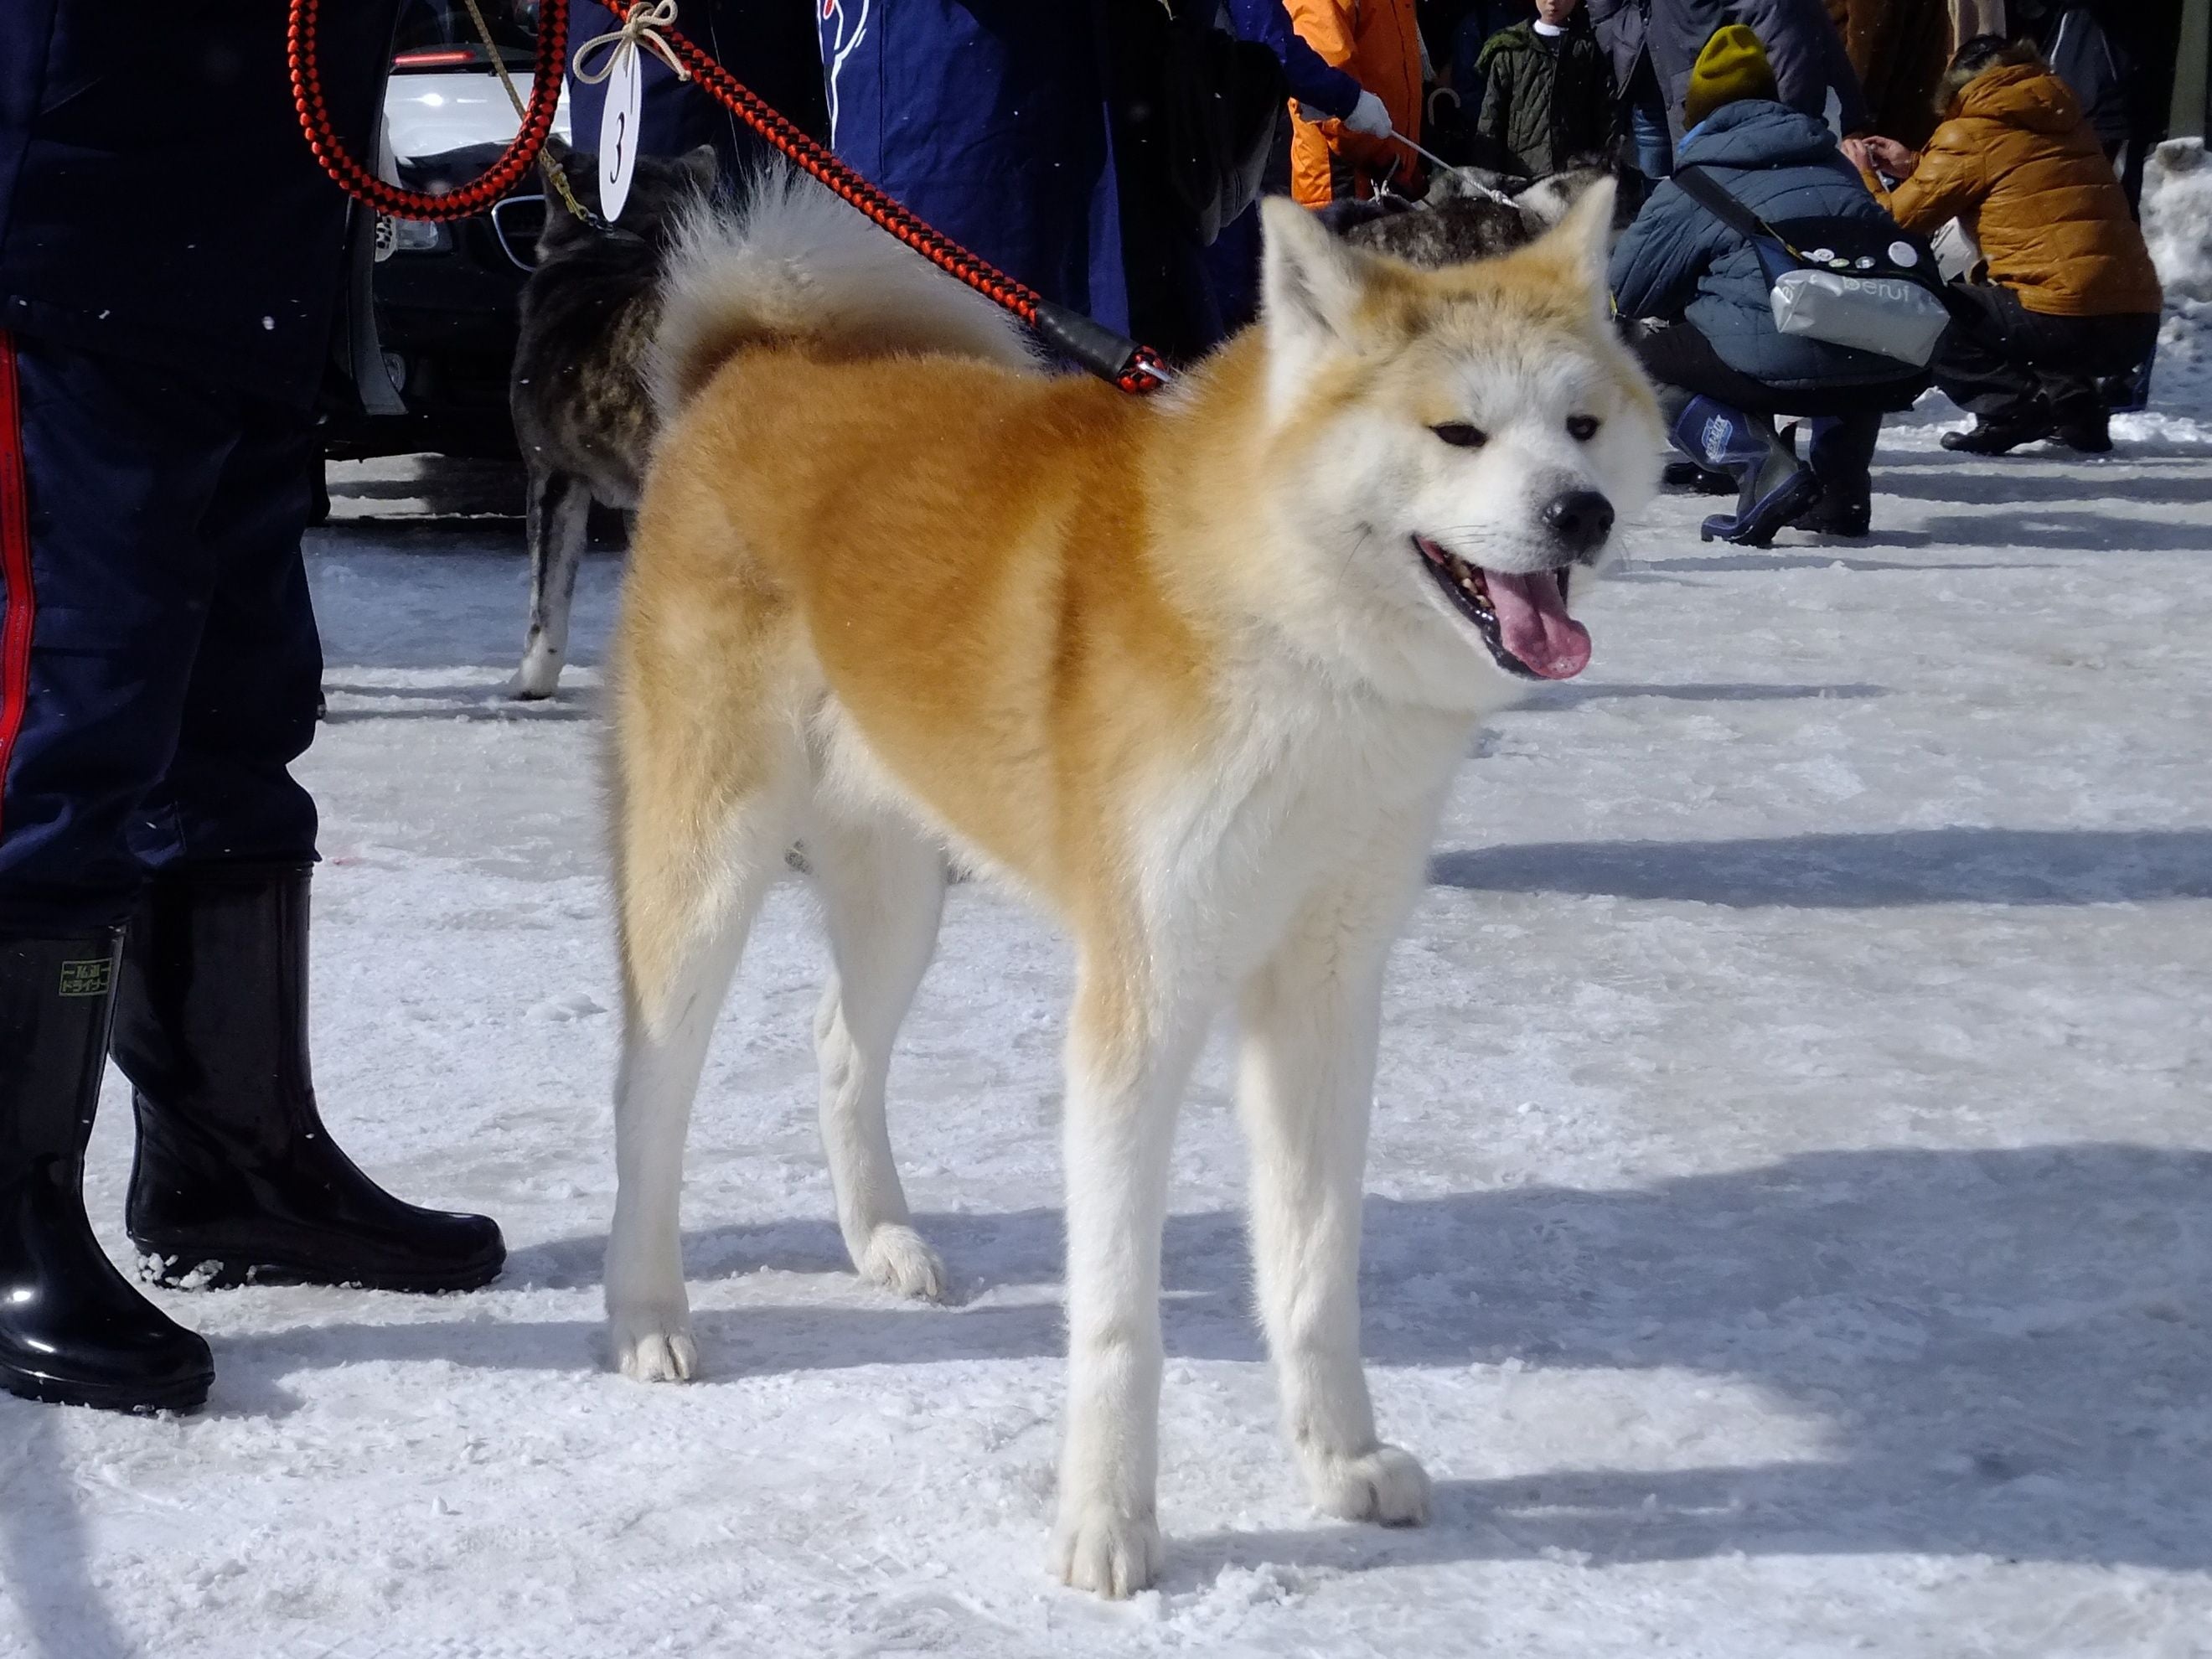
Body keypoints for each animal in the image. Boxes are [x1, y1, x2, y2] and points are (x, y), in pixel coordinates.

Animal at [606, 166, 1663, 1601]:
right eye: (1458, 433)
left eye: (1581, 426)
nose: (1579, 514)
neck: (1293, 638)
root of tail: (755, 365)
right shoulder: (1143, 1000)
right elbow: (1119, 1319)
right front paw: (1107, 1525)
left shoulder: (1325, 992)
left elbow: (1314, 1270)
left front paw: (1341, 1462)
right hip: (708, 866)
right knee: (649, 1099)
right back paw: (646, 1313)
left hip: (899, 893)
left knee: (837, 1046)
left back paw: (883, 1243)